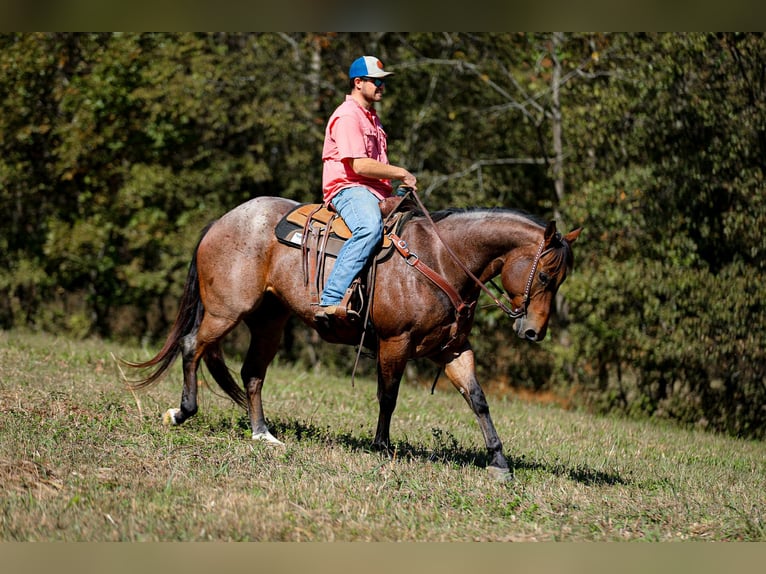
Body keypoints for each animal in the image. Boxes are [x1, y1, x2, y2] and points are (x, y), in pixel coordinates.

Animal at [124, 195, 581, 481]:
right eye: (545, 275)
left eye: (560, 280)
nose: (533, 331)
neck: (439, 260)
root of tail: (222, 220)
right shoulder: (395, 342)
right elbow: (388, 396)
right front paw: (381, 445)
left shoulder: (452, 349)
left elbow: (478, 399)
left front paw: (499, 461)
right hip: (225, 311)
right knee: (192, 347)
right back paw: (182, 412)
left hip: (269, 322)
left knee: (252, 373)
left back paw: (262, 434)